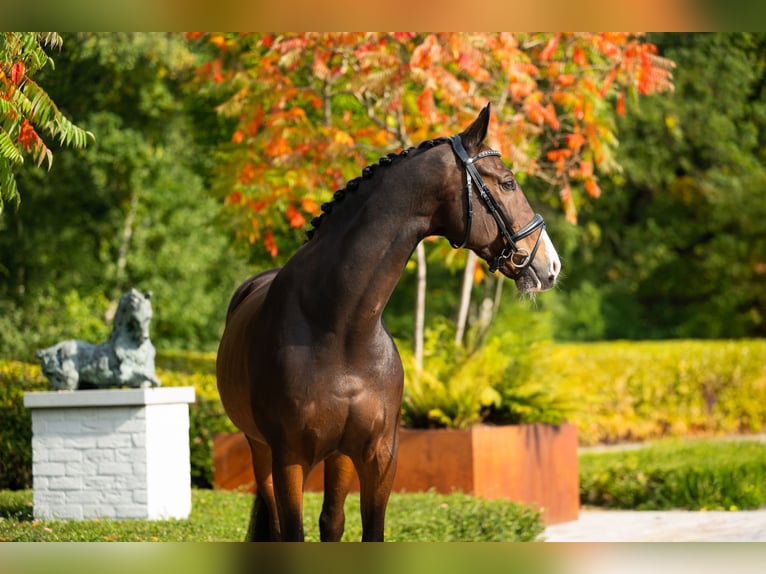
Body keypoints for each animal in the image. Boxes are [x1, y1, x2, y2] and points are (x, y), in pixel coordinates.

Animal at [216, 104, 560, 542]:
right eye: (508, 183)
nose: (550, 265)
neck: (339, 330)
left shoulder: (379, 457)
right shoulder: (288, 458)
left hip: (339, 457)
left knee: (332, 521)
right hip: (259, 450)